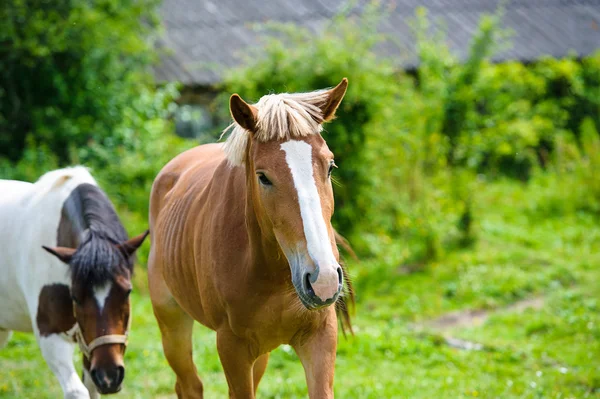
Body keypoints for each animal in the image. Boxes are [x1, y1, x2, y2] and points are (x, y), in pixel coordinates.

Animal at [0, 167, 148, 398]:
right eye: (75, 296)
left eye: (127, 291)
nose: (109, 376)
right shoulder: (50, 337)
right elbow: (77, 391)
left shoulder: (90, 346)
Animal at [150, 79, 354, 399]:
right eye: (263, 177)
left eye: (330, 166)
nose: (323, 279)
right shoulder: (232, 348)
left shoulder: (320, 336)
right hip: (172, 324)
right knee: (189, 385)